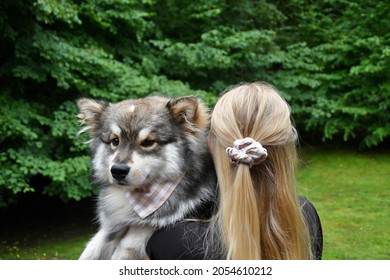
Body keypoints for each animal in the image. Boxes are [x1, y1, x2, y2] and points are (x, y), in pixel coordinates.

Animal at [76, 95, 216, 260]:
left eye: (148, 142)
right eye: (115, 141)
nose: (117, 170)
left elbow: (129, 242)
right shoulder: (107, 231)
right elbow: (90, 251)